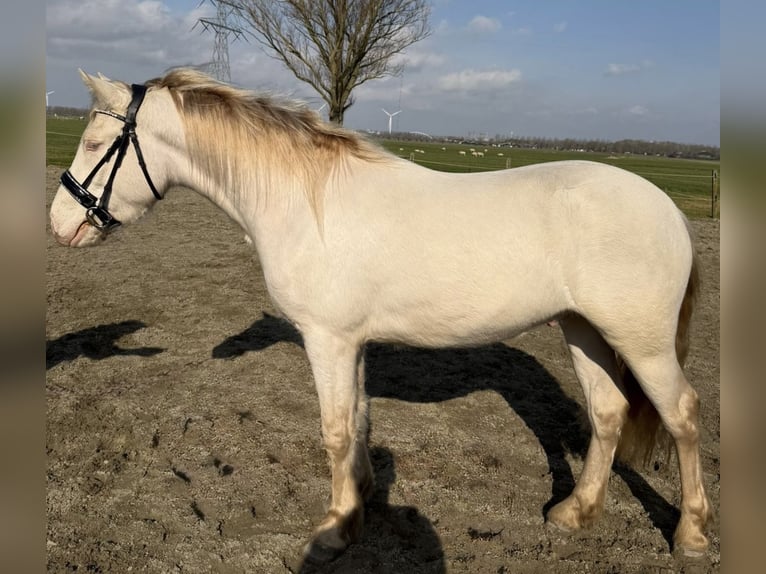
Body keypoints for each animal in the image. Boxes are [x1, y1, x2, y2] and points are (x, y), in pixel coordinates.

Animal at [49, 68, 712, 562]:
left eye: (92, 144)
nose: (59, 225)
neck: (306, 200)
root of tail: (668, 210)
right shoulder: (354, 342)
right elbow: (361, 419)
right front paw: (362, 499)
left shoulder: (329, 340)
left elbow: (336, 430)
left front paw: (336, 530)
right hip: (585, 331)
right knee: (609, 414)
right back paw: (575, 514)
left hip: (643, 344)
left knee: (681, 415)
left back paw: (691, 534)